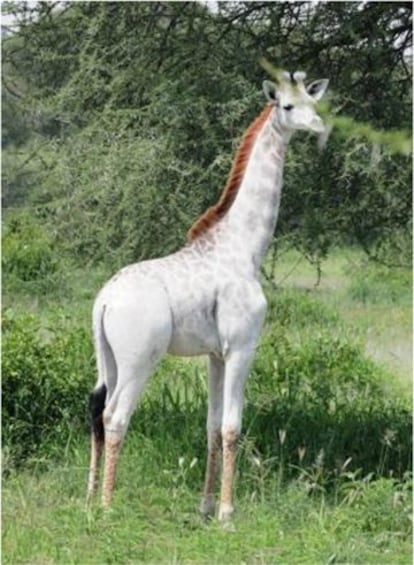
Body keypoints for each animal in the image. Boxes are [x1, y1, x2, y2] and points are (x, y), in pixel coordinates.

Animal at [87, 69, 330, 520]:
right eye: (287, 106)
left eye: (314, 101)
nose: (318, 126)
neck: (244, 247)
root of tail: (104, 300)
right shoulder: (241, 346)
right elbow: (233, 426)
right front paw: (227, 514)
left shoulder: (215, 354)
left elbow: (212, 426)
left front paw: (204, 506)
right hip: (139, 359)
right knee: (115, 416)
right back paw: (109, 508)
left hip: (107, 357)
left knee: (97, 409)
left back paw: (90, 497)